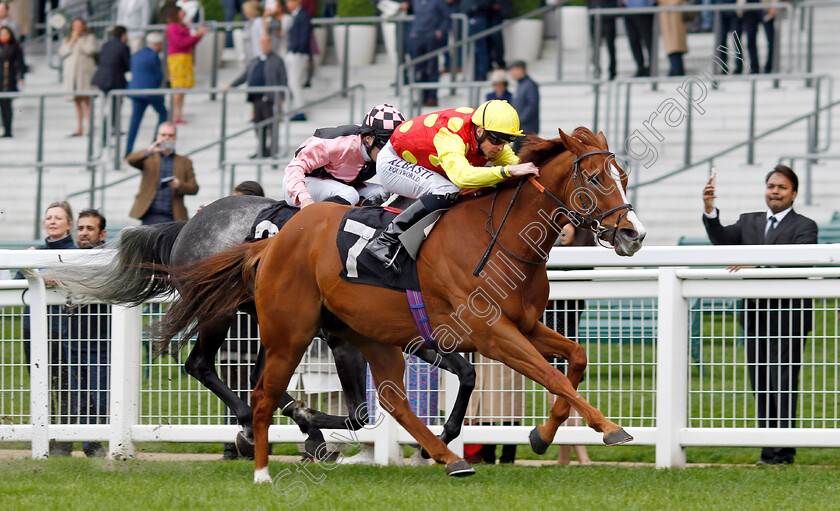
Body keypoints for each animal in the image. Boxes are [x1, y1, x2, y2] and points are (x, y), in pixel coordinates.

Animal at [156, 128, 644, 480]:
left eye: (623, 178)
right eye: (596, 178)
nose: (633, 234)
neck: (498, 237)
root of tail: (193, 220)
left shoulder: (518, 327)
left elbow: (574, 360)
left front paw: (541, 435)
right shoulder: (490, 334)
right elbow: (550, 376)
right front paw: (610, 429)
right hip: (243, 316)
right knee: (206, 365)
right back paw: (273, 427)